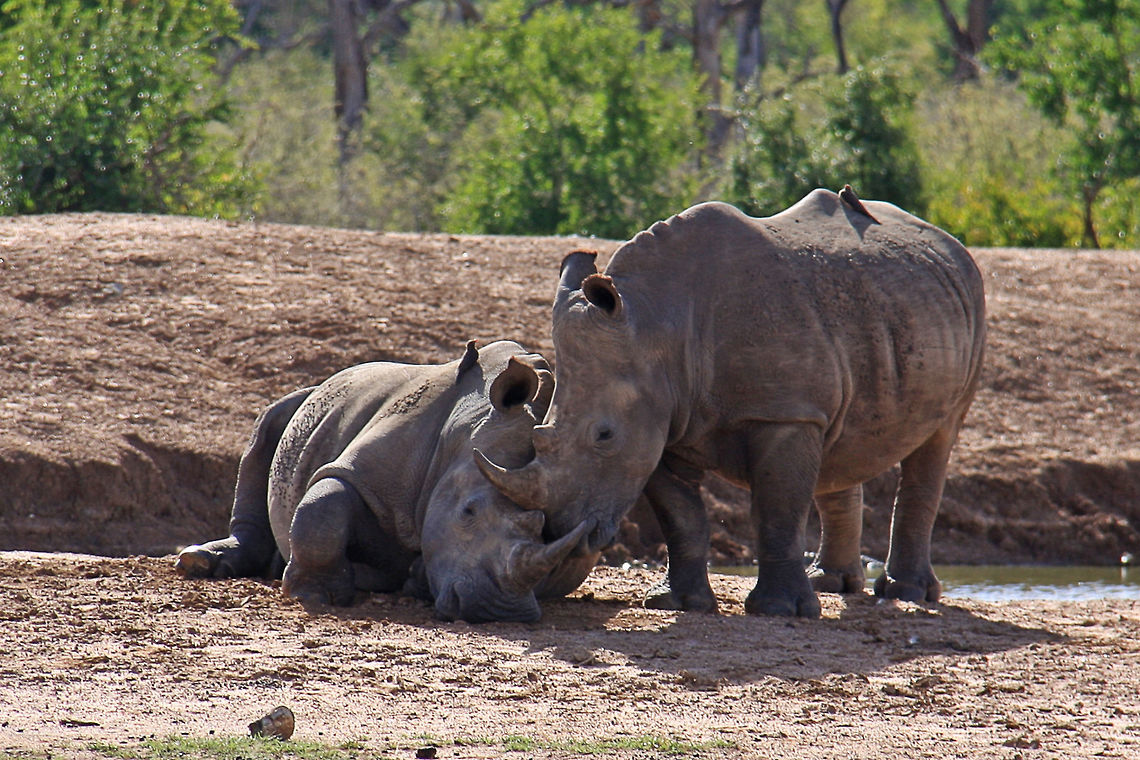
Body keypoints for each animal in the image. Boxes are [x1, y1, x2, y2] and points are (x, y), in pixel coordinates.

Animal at [176, 340, 598, 623]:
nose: (500, 610)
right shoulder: (364, 469)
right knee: (269, 424)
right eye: (468, 512)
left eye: (550, 531)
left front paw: (411, 578)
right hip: (303, 399)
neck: (471, 428)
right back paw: (199, 562)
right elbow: (325, 504)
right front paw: (319, 595)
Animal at [476, 187, 986, 618]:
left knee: (937, 440)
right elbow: (681, 516)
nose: (557, 530)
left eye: (604, 436)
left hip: (969, 303)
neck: (657, 325)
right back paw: (832, 584)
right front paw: (677, 604)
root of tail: (950, 243)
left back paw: (907, 594)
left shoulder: (783, 413)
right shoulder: (663, 420)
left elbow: (777, 510)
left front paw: (780, 611)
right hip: (885, 310)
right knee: (842, 440)